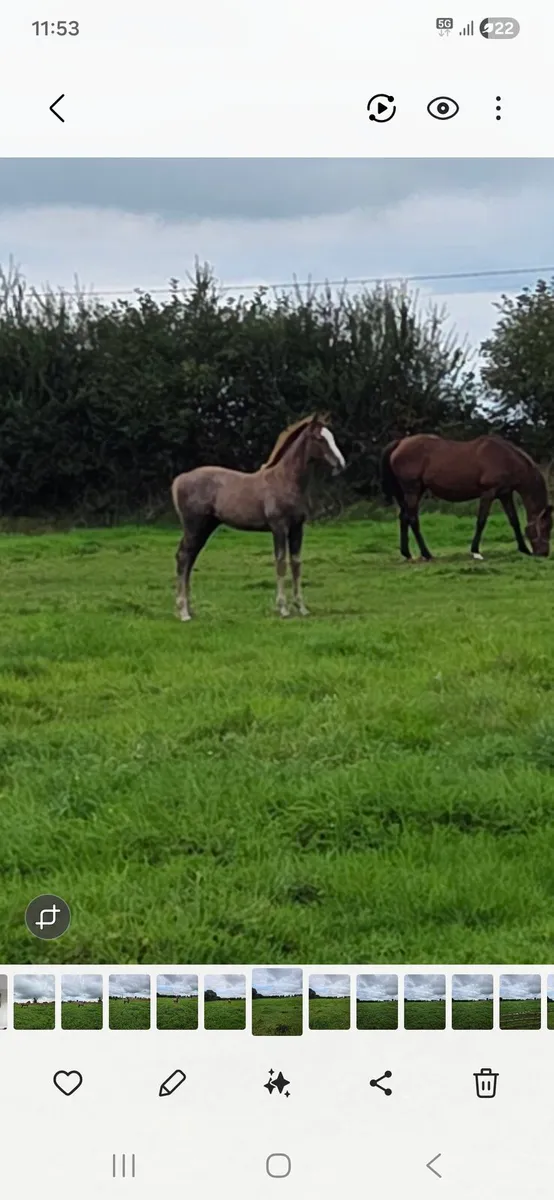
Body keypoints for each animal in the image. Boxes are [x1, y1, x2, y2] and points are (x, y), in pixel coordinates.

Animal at [171, 413, 346, 620]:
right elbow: (281, 562)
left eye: (331, 436)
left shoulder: (297, 528)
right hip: (194, 526)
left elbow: (296, 563)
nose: (341, 464)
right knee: (183, 557)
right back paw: (183, 612)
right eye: (319, 438)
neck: (285, 480)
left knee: (189, 559)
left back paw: (189, 609)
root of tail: (180, 478)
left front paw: (302, 607)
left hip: (205, 527)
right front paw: (283, 608)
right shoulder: (279, 527)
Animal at [381, 433, 552, 561]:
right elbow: (481, 521)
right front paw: (476, 551)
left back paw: (407, 554)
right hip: (413, 490)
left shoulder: (504, 494)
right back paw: (427, 554)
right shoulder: (488, 493)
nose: (544, 553)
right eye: (545, 527)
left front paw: (523, 549)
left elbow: (514, 521)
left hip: (414, 491)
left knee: (404, 517)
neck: (507, 459)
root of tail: (400, 443)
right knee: (412, 519)